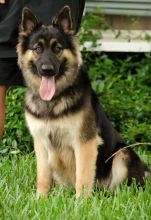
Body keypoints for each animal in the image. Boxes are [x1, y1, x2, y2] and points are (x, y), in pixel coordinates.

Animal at [17, 5, 149, 198]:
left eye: (57, 48)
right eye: (37, 49)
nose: (47, 70)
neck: (53, 101)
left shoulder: (85, 143)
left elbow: (84, 176)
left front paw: (81, 202)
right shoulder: (41, 143)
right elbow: (42, 177)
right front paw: (40, 199)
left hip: (122, 154)